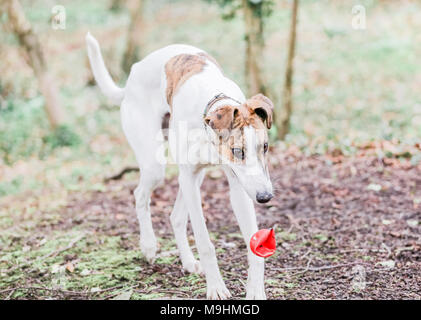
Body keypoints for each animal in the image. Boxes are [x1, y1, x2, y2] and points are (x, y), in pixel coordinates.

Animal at [87, 33, 274, 300]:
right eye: (238, 151)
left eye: (265, 146)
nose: (265, 197)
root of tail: (133, 73)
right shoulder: (194, 176)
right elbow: (205, 243)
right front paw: (216, 287)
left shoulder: (239, 186)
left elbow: (253, 246)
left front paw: (256, 290)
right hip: (157, 168)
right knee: (140, 194)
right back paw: (148, 245)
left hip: (195, 178)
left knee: (176, 216)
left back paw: (186, 261)